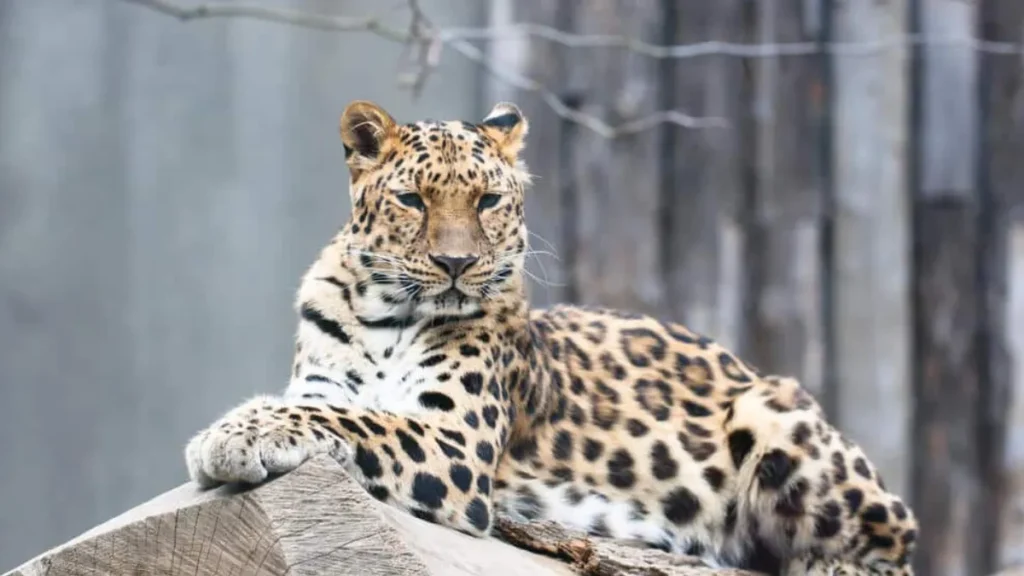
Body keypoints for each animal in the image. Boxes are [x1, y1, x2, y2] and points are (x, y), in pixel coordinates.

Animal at [184, 99, 918, 575]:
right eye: (413, 200)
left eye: (487, 201)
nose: (456, 263)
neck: (386, 314)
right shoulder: (329, 382)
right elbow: (330, 406)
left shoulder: (457, 441)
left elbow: (352, 418)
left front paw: (231, 434)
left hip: (775, 410)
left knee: (895, 536)